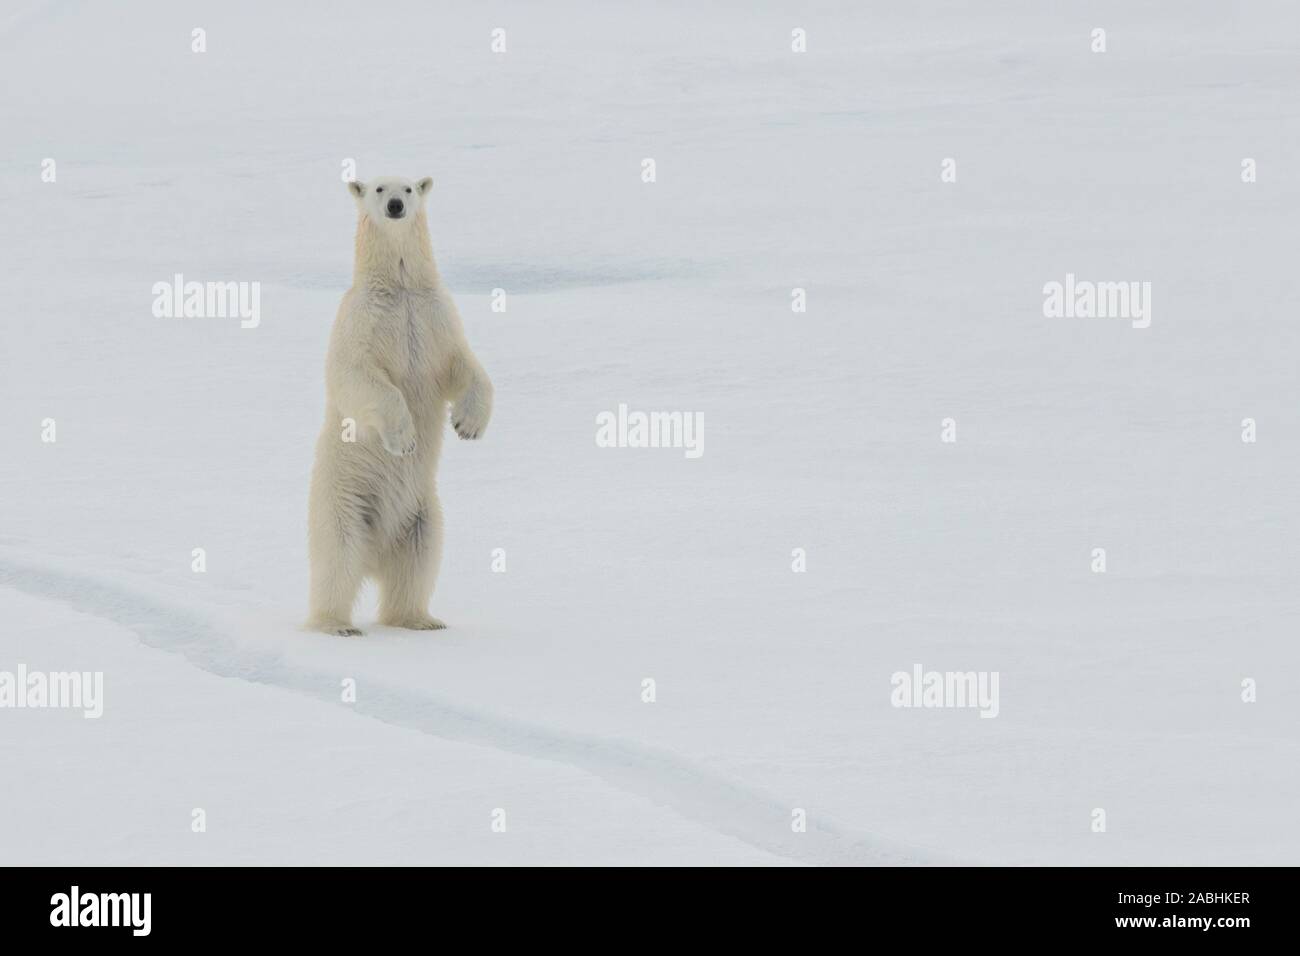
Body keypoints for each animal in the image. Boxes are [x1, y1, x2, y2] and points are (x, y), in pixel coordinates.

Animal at [305, 175, 491, 639]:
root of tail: (377, 555)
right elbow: (357, 375)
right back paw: (336, 625)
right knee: (337, 557)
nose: (393, 206)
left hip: (421, 512)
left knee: (419, 559)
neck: (401, 287)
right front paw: (404, 439)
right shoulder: (360, 319)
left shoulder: (435, 315)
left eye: (407, 188)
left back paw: (421, 619)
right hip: (343, 498)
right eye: (376, 188)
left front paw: (468, 424)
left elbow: (464, 365)